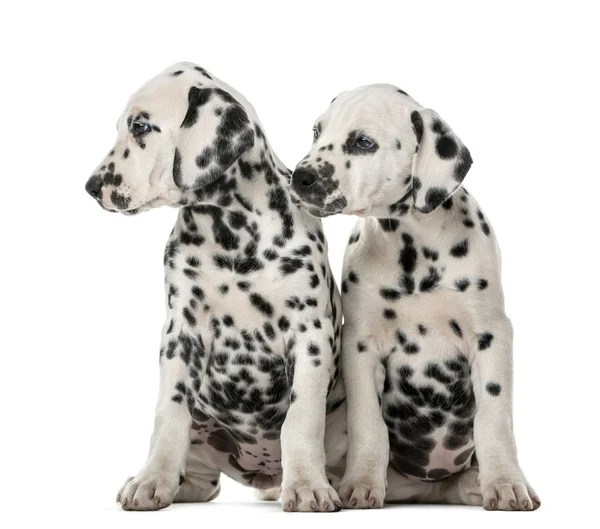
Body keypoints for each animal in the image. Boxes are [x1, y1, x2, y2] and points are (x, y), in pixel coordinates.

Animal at [86, 63, 344, 512]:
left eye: (140, 126)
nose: (91, 186)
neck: (231, 232)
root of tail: (265, 473)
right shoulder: (181, 333)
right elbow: (169, 414)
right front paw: (151, 480)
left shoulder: (310, 333)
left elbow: (301, 419)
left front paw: (309, 485)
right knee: (202, 480)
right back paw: (166, 482)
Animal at [290, 84, 540, 510]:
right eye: (316, 132)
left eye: (363, 142)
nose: (300, 177)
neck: (415, 249)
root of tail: (430, 488)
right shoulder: (360, 345)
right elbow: (368, 424)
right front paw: (361, 483)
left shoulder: (491, 335)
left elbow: (494, 419)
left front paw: (506, 483)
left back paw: (477, 484)